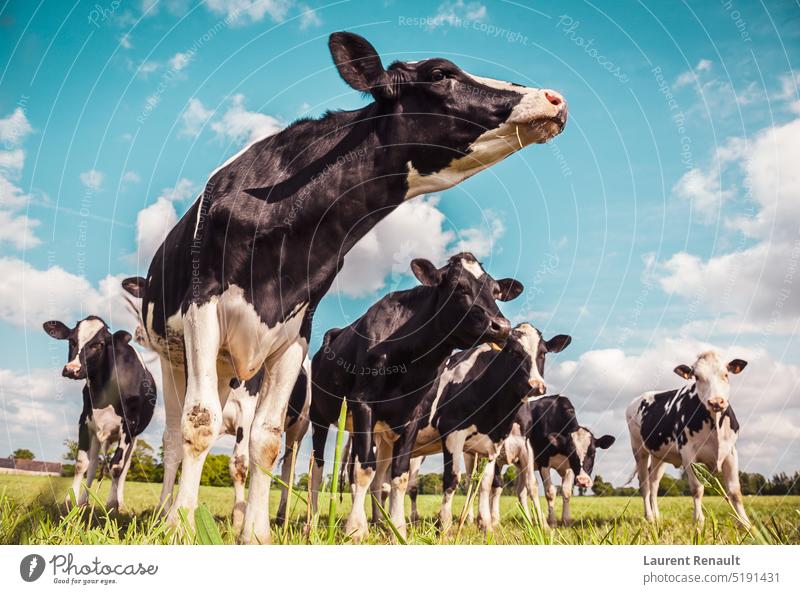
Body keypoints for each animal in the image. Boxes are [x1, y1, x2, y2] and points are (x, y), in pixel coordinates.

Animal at [42, 314, 156, 508]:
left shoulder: (129, 424)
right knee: (94, 464)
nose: (72, 369)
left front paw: (111, 505)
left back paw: (119, 501)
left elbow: (117, 466)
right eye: (72, 340)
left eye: (99, 344)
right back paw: (83, 501)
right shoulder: (85, 421)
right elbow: (82, 463)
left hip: (134, 438)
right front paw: (70, 501)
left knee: (124, 467)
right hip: (100, 433)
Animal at [306, 252, 524, 540]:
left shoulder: (412, 416)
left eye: (496, 292)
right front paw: (354, 530)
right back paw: (312, 523)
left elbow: (398, 475)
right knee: (318, 468)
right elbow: (364, 471)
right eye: (458, 287)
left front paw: (396, 529)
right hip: (319, 416)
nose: (502, 327)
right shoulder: (363, 403)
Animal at [404, 322, 572, 528]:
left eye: (543, 353)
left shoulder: (497, 443)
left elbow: (487, 482)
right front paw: (444, 524)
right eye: (513, 352)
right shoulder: (452, 433)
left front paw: (486, 523)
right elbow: (452, 479)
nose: (535, 385)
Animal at [624, 350, 752, 524]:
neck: (715, 425)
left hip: (659, 455)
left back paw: (657, 516)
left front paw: (745, 523)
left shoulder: (731, 452)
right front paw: (698, 520)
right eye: (697, 377)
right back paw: (649, 517)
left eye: (726, 374)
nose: (716, 402)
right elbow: (697, 488)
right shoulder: (688, 453)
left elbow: (735, 491)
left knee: (654, 482)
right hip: (639, 449)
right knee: (644, 484)